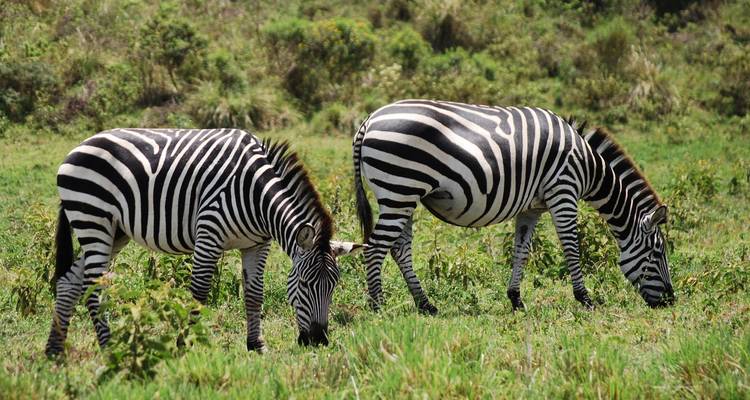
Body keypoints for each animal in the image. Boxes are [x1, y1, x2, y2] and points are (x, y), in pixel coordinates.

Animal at [45, 128, 363, 357]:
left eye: (333, 286)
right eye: (305, 284)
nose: (319, 341)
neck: (256, 195)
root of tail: (77, 147)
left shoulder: (257, 245)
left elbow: (254, 294)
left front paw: (256, 345)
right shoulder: (209, 233)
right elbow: (198, 293)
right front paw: (183, 345)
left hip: (114, 231)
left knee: (70, 282)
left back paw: (54, 350)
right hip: (93, 218)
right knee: (92, 288)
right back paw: (109, 347)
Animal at [352, 99, 675, 314]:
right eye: (657, 253)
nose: (671, 301)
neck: (588, 166)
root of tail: (369, 120)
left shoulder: (532, 208)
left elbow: (522, 251)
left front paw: (516, 299)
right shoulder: (563, 191)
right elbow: (571, 247)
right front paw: (585, 298)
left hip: (404, 195)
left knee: (399, 249)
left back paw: (426, 304)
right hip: (400, 188)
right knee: (376, 247)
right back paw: (377, 306)